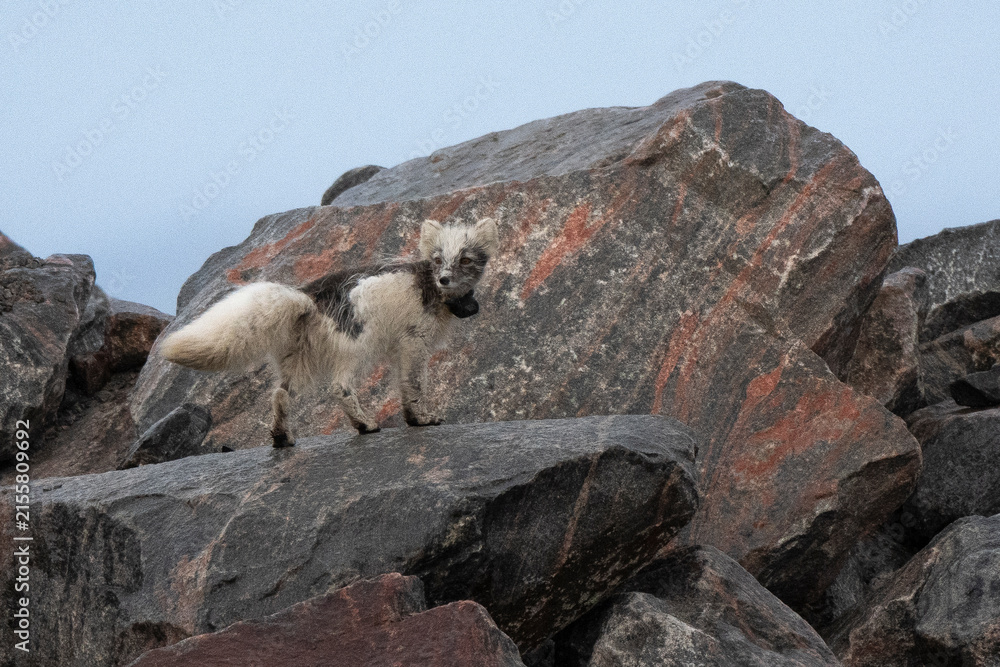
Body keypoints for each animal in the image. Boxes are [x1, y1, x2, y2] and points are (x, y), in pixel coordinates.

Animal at [159, 217, 499, 447]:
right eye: (438, 259)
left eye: (465, 259)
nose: (444, 279)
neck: (432, 289)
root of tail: (309, 297)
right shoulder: (414, 342)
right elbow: (414, 384)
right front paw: (423, 420)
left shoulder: (399, 348)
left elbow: (403, 385)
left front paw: (414, 419)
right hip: (356, 347)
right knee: (339, 387)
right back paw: (365, 425)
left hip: (298, 358)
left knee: (280, 393)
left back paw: (282, 437)